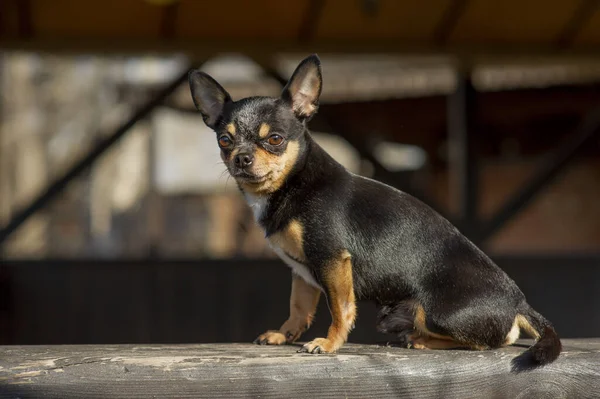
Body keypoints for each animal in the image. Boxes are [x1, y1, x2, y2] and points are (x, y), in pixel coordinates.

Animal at [189, 54, 564, 364]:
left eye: (275, 140)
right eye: (225, 140)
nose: (241, 158)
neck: (293, 183)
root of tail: (518, 302)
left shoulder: (332, 261)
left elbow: (340, 309)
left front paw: (328, 344)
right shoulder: (302, 271)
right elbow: (299, 307)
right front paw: (284, 334)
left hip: (436, 313)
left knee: (491, 341)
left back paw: (421, 340)